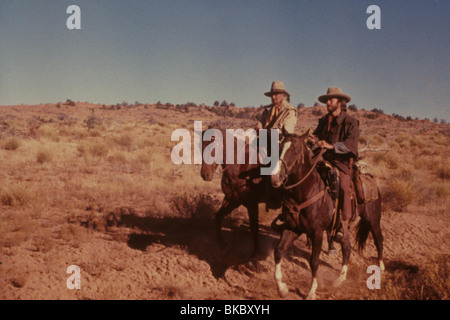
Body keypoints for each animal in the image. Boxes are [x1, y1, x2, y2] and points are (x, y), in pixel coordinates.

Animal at [200, 127, 282, 255]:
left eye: (213, 149)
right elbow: (217, 218)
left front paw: (256, 252)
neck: (240, 167)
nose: (205, 175)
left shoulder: (252, 204)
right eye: (200, 147)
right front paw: (222, 245)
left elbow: (254, 226)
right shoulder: (232, 200)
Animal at [270, 131, 384, 300]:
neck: (306, 191)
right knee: (347, 248)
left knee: (378, 240)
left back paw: (381, 268)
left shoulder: (317, 232)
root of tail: (371, 180)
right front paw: (282, 288)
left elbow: (314, 261)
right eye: (278, 148)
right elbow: (278, 251)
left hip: (373, 220)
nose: (275, 178)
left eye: (296, 152)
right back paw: (340, 279)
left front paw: (311, 292)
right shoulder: (293, 228)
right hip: (344, 227)